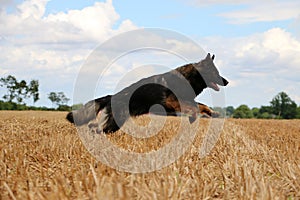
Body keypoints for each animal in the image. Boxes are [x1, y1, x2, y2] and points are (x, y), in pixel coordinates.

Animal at [67, 53, 229, 133]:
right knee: (99, 128)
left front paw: (212, 113)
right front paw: (193, 117)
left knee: (96, 127)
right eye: (215, 73)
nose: (227, 81)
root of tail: (111, 96)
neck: (188, 78)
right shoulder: (172, 101)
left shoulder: (185, 100)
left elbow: (201, 105)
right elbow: (195, 107)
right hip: (115, 122)